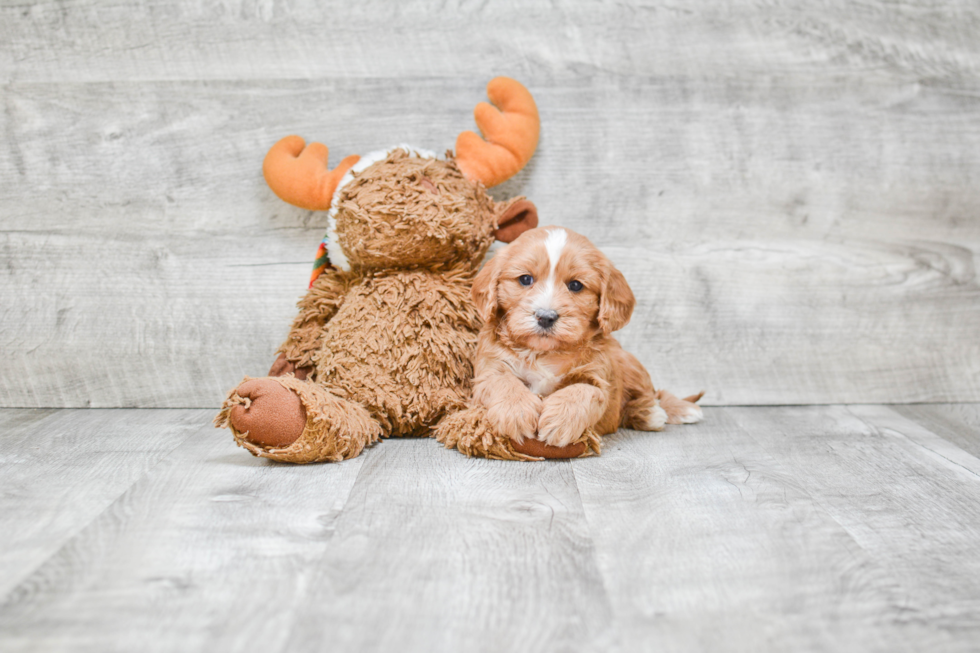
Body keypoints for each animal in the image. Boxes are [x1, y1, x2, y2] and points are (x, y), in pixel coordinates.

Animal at [468, 224, 704, 448]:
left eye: (575, 285)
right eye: (525, 279)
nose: (546, 317)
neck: (545, 352)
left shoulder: (598, 377)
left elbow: (584, 391)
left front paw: (560, 420)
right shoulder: (488, 368)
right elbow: (501, 381)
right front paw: (516, 412)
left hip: (630, 363)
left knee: (652, 396)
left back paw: (657, 412)